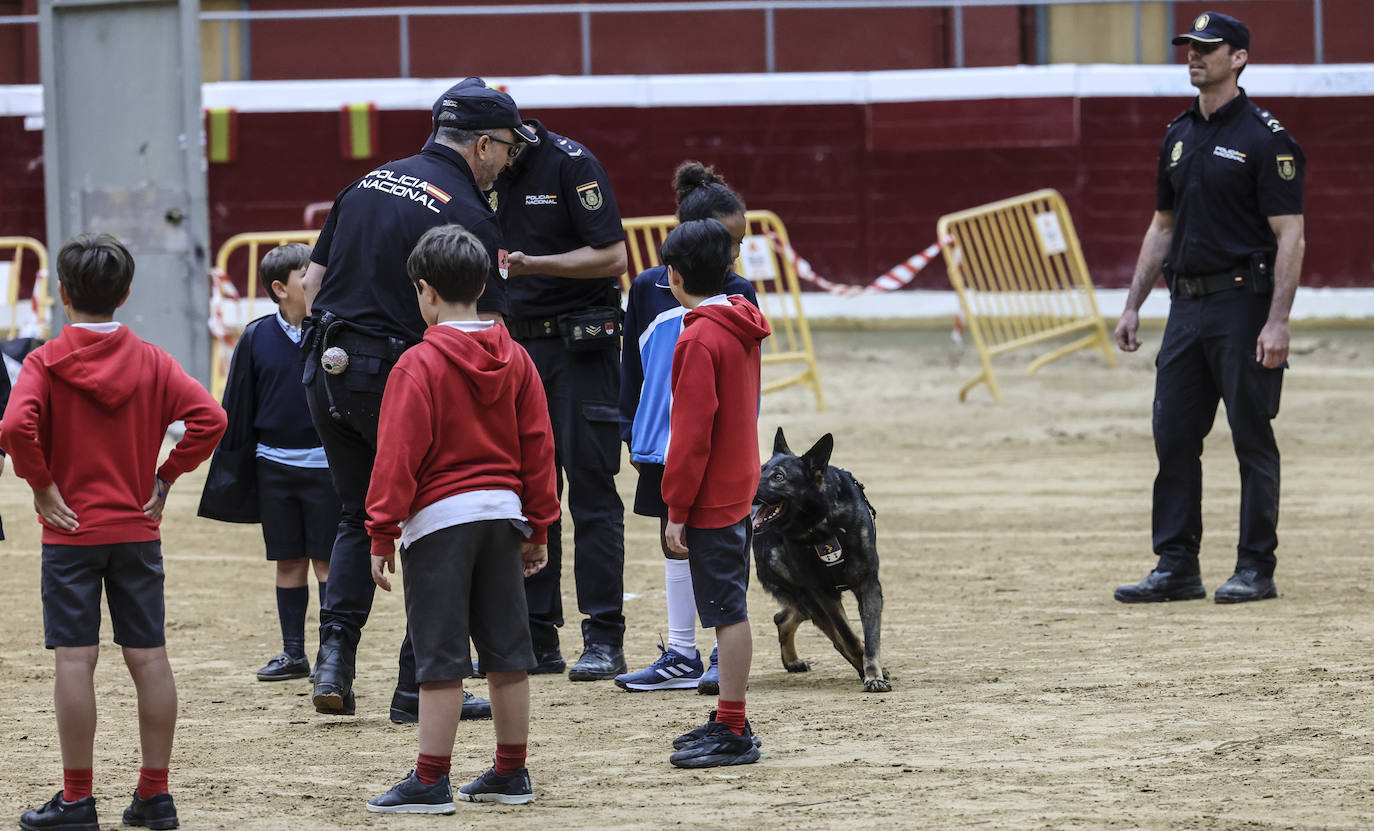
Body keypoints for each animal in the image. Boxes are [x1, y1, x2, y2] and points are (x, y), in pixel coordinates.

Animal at [752, 431, 890, 689]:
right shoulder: (824, 595)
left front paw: (873, 675)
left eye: (778, 477)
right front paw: (867, 671)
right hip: (808, 599)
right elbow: (848, 636)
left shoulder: (868, 587)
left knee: (783, 617)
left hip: (806, 602)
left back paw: (792, 661)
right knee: (828, 634)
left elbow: (871, 637)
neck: (821, 528)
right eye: (761, 469)